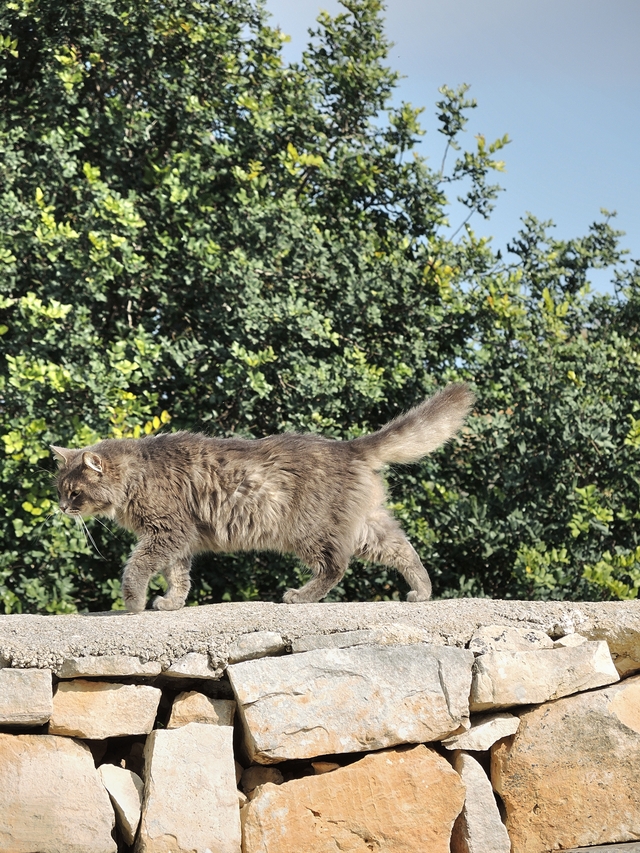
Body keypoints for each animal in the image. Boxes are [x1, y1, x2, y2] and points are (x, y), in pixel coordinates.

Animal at [52, 382, 476, 608]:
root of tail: (348, 447)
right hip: (370, 528)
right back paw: (422, 591)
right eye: (59, 490)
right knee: (404, 550)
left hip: (308, 530)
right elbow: (179, 576)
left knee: (335, 566)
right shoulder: (179, 539)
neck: (137, 476)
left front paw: (134, 602)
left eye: (74, 492)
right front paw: (172, 602)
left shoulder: (167, 531)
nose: (60, 507)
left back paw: (300, 596)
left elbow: (136, 568)